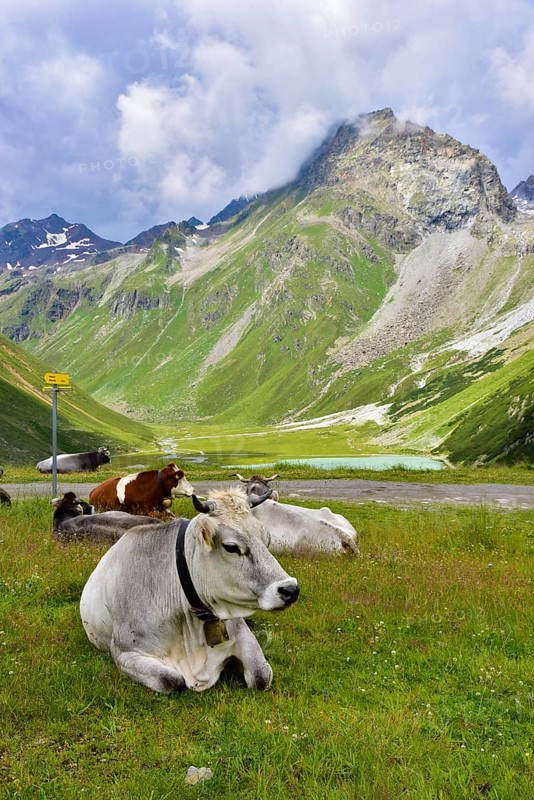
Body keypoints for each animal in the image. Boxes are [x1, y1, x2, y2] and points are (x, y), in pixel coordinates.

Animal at [80, 488, 299, 693]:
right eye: (231, 546)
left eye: (267, 539)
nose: (291, 589)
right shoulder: (124, 652)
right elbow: (170, 680)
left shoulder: (241, 633)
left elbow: (261, 675)